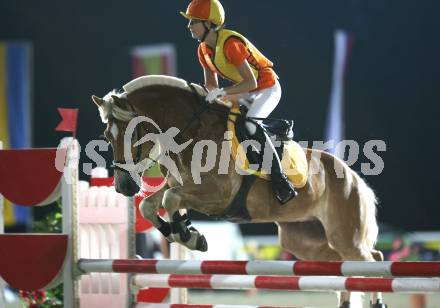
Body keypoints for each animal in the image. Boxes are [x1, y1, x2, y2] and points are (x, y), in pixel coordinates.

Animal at [92, 75, 384, 308]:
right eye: (107, 135)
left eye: (132, 134)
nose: (124, 186)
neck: (191, 130)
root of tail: (354, 178)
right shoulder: (179, 184)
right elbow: (150, 205)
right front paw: (185, 233)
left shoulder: (217, 195)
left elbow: (170, 198)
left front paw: (188, 235)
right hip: (304, 240)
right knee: (346, 266)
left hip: (344, 235)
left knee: (373, 259)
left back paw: (377, 301)